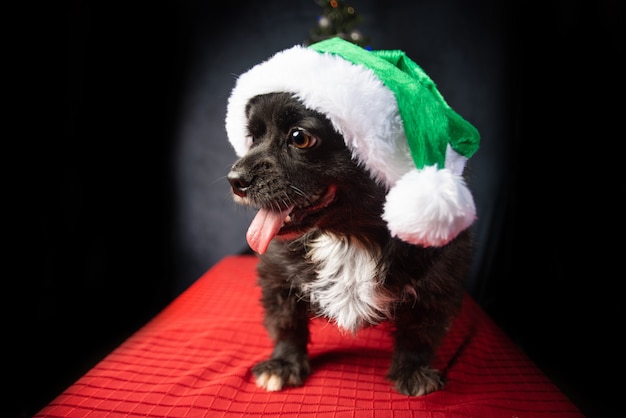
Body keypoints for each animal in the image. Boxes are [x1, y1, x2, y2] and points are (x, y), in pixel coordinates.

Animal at [227, 93, 470, 396]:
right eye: (253, 137)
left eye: (299, 138)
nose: (235, 180)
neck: (351, 236)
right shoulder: (277, 277)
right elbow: (286, 322)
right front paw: (283, 364)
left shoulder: (439, 285)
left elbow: (420, 333)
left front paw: (412, 371)